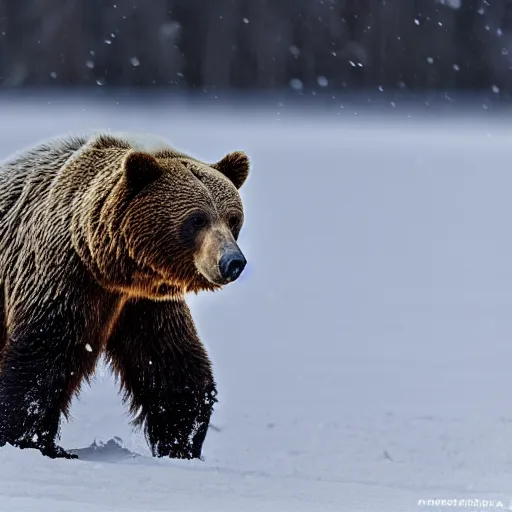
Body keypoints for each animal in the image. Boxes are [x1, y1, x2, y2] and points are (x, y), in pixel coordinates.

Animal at [0, 131, 250, 460]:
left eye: (233, 219)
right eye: (197, 219)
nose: (232, 261)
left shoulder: (144, 304)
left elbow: (171, 366)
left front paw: (182, 443)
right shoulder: (62, 277)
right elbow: (41, 358)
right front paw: (32, 442)